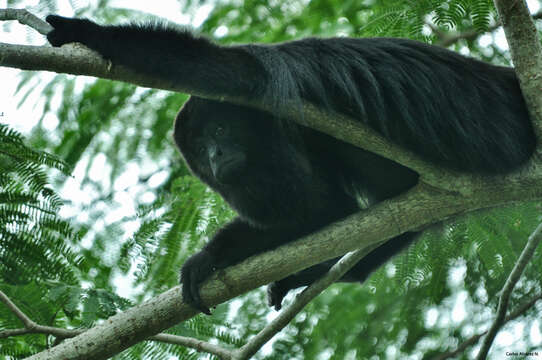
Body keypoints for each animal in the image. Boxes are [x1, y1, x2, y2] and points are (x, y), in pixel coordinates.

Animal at [45, 15, 536, 314]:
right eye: (200, 147)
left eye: (219, 130)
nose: (215, 157)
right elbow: (320, 210)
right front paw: (210, 257)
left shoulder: (275, 82)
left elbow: (230, 70)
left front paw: (87, 32)